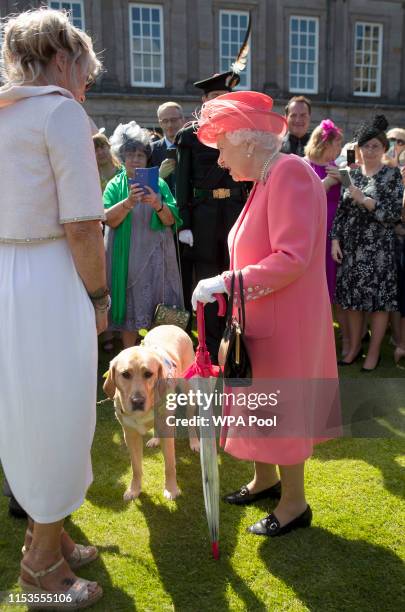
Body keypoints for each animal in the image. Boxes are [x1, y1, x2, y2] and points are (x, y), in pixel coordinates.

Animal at [102, 322, 197, 500]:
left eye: (148, 374)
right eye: (125, 374)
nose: (137, 401)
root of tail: (171, 324)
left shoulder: (167, 433)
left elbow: (169, 466)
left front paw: (171, 489)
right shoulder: (130, 435)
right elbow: (136, 468)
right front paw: (134, 489)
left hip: (189, 393)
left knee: (190, 419)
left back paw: (194, 442)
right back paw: (155, 439)